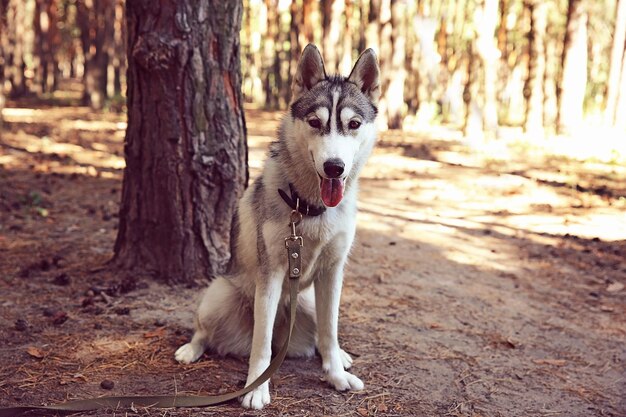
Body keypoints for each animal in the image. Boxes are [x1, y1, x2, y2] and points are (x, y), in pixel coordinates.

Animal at [176, 44, 380, 410]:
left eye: (353, 124)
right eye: (315, 122)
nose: (334, 167)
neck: (309, 209)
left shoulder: (333, 273)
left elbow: (330, 330)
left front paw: (336, 375)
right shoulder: (270, 274)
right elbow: (261, 344)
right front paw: (256, 389)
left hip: (308, 301)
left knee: (319, 334)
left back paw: (339, 358)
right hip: (219, 294)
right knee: (207, 331)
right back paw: (191, 349)